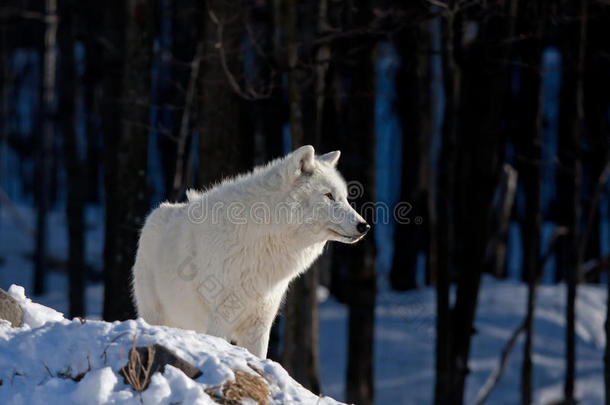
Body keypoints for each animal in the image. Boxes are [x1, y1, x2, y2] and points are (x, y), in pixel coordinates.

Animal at [132, 145, 368, 356]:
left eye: (344, 197)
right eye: (328, 196)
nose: (364, 226)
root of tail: (154, 213)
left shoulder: (260, 326)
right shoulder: (221, 319)